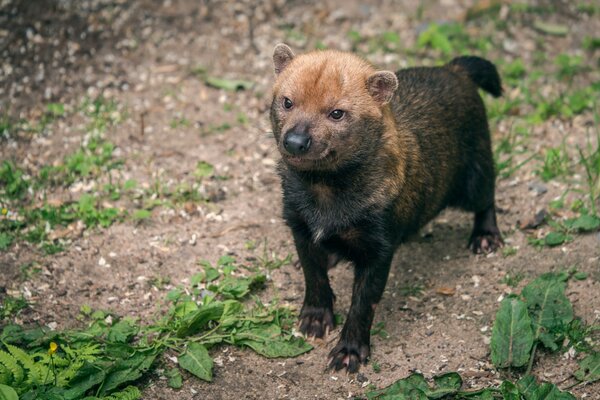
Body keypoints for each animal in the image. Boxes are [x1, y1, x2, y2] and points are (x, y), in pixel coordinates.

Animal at [270, 43, 504, 372]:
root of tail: (454, 68)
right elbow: (313, 275)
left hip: (475, 173)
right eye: (287, 101)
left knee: (488, 194)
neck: (325, 201)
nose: (295, 140)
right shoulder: (299, 225)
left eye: (337, 112)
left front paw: (349, 352)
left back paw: (485, 237)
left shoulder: (378, 246)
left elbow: (363, 303)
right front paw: (314, 320)